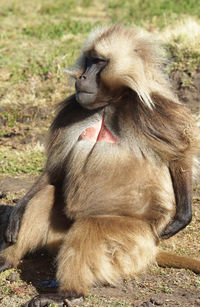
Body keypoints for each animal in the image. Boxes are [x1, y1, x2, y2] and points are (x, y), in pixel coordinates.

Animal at [0, 26, 200, 307]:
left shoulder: (154, 112)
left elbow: (180, 153)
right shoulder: (73, 109)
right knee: (47, 195)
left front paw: (182, 216)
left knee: (90, 228)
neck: (110, 104)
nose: (83, 77)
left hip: (134, 240)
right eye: (89, 60)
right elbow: (56, 169)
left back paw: (67, 293)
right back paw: (6, 260)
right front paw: (17, 211)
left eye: (100, 62)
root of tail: (152, 249)